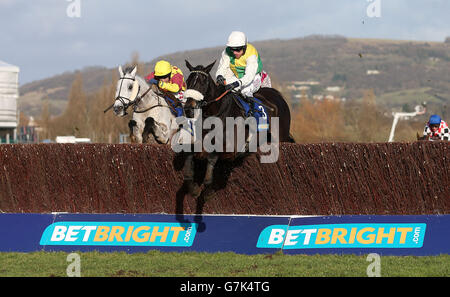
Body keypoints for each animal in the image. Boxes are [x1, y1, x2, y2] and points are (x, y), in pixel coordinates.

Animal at [180, 59, 296, 199]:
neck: (217, 113)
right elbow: (191, 154)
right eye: (188, 81)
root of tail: (277, 95)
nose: (188, 108)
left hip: (281, 137)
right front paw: (193, 188)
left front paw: (207, 188)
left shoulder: (231, 151)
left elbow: (213, 156)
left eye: (203, 82)